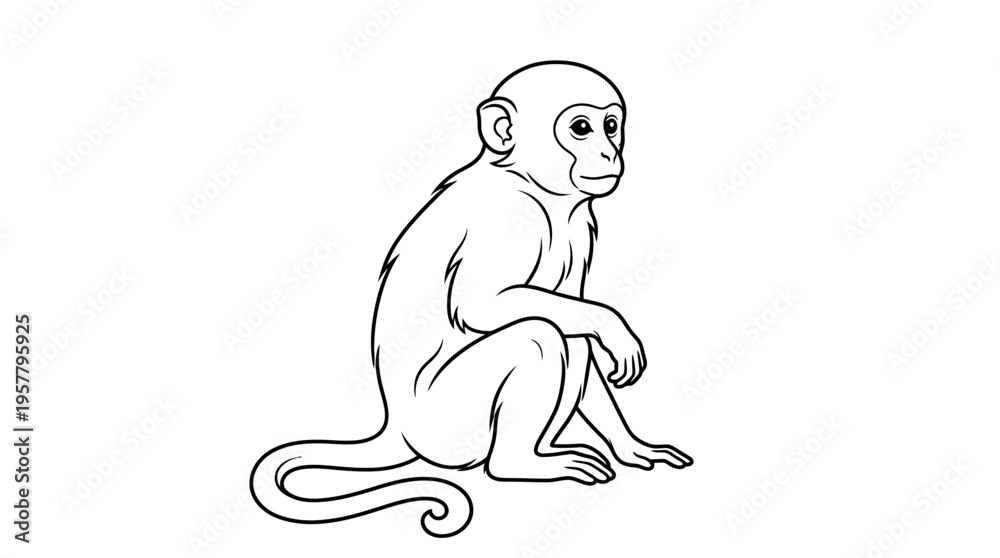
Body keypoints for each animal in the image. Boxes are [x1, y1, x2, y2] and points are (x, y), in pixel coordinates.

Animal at [250, 61, 693, 538]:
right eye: (581, 128)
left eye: (611, 127)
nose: (609, 153)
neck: (536, 188)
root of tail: (397, 427)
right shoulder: (507, 216)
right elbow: (482, 306)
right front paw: (613, 325)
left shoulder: (580, 227)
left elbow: (573, 315)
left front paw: (631, 445)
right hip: (444, 423)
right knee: (537, 335)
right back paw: (519, 463)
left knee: (567, 333)